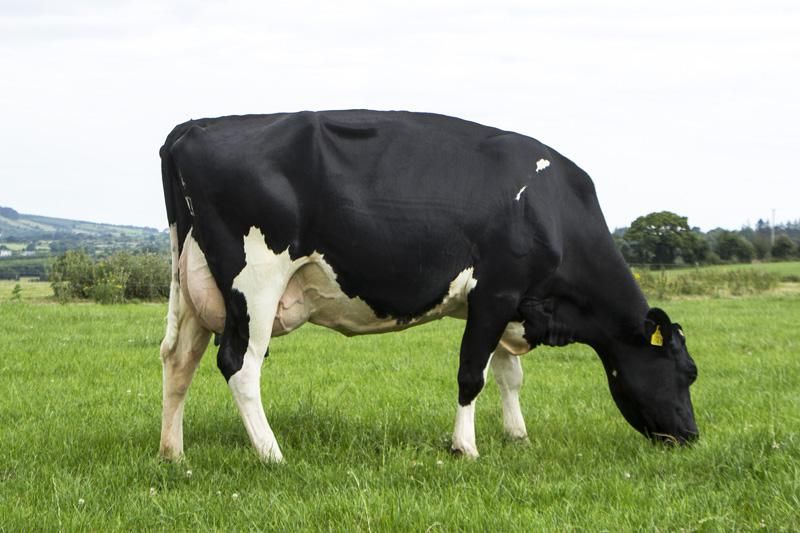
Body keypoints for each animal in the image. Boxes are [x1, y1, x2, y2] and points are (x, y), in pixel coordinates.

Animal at [158, 110, 698, 462]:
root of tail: (195, 126)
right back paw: (272, 454)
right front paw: (467, 447)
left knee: (179, 360)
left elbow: (508, 375)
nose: (691, 435)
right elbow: (472, 374)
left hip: (194, 282)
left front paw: (517, 436)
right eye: (686, 372)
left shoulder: (506, 303)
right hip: (256, 282)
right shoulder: (497, 291)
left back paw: (173, 454)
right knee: (239, 364)